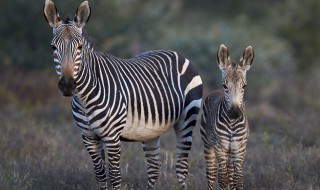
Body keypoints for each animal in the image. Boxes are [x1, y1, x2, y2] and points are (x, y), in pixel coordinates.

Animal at [42, 0, 202, 189]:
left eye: (80, 47)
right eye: (53, 47)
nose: (67, 86)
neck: (84, 98)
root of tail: (177, 53)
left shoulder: (111, 137)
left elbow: (115, 176)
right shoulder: (88, 137)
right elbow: (100, 174)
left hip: (187, 120)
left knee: (181, 167)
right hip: (150, 131)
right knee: (154, 168)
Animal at [201, 43, 254, 189]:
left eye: (244, 86)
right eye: (225, 85)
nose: (235, 113)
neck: (232, 123)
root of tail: (215, 91)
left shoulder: (240, 148)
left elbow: (238, 179)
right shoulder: (220, 146)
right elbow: (223, 179)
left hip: (231, 150)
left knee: (230, 173)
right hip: (208, 143)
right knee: (211, 173)